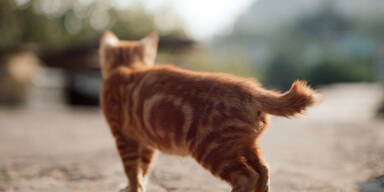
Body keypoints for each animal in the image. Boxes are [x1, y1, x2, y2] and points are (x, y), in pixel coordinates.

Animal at [100, 31, 320, 192]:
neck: (128, 65)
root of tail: (251, 90)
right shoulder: (146, 144)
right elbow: (143, 169)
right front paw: (136, 186)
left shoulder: (123, 136)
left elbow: (131, 169)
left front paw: (132, 187)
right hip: (245, 146)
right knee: (262, 171)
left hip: (212, 149)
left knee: (246, 176)